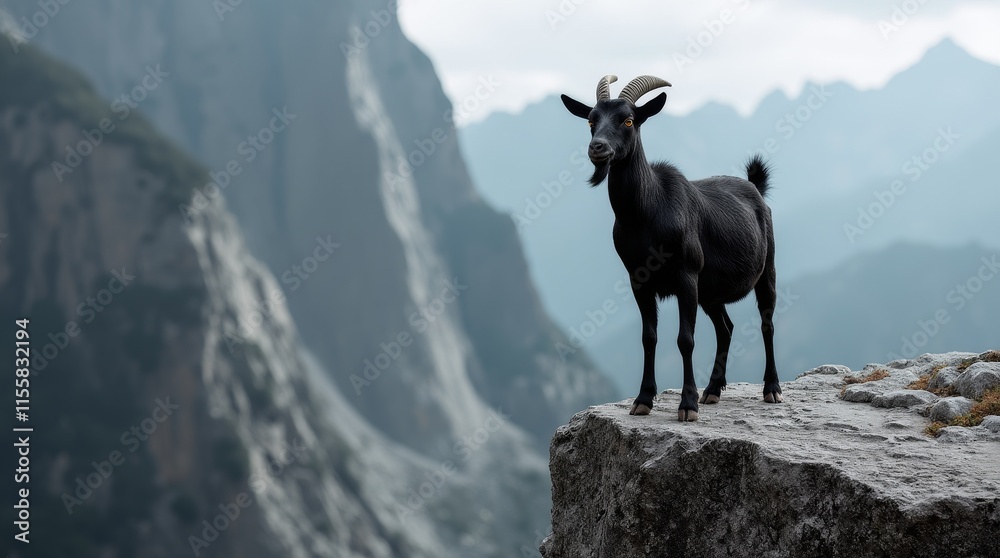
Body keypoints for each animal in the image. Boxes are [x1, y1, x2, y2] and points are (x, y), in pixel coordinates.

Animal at [561, 75, 782, 421]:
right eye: (590, 121)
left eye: (628, 120)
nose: (598, 148)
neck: (647, 213)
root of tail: (756, 188)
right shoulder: (639, 281)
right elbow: (648, 337)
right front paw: (643, 400)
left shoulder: (686, 277)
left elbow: (685, 340)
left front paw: (687, 405)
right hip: (710, 292)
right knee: (726, 328)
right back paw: (713, 390)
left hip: (765, 269)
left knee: (766, 322)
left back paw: (771, 388)